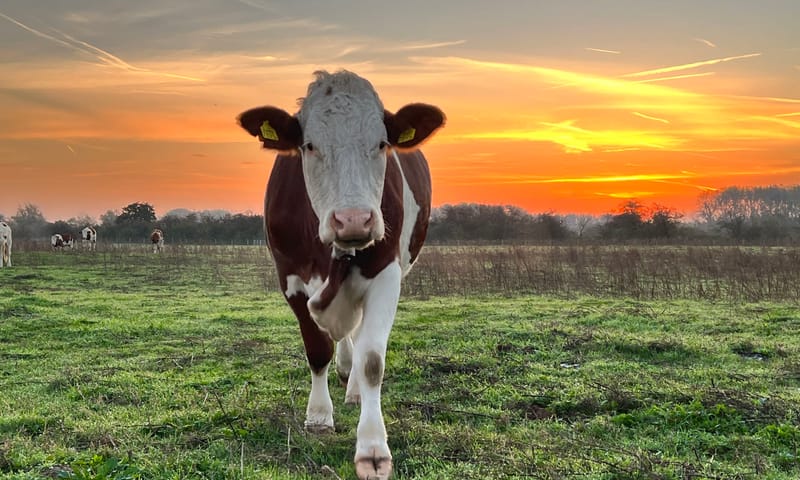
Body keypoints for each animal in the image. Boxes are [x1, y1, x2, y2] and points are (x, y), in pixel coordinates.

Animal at [238, 70, 445, 479]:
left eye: (381, 143)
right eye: (309, 145)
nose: (353, 220)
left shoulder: (386, 274)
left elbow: (372, 360)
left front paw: (373, 449)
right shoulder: (290, 277)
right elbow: (317, 350)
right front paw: (318, 417)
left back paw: (354, 389)